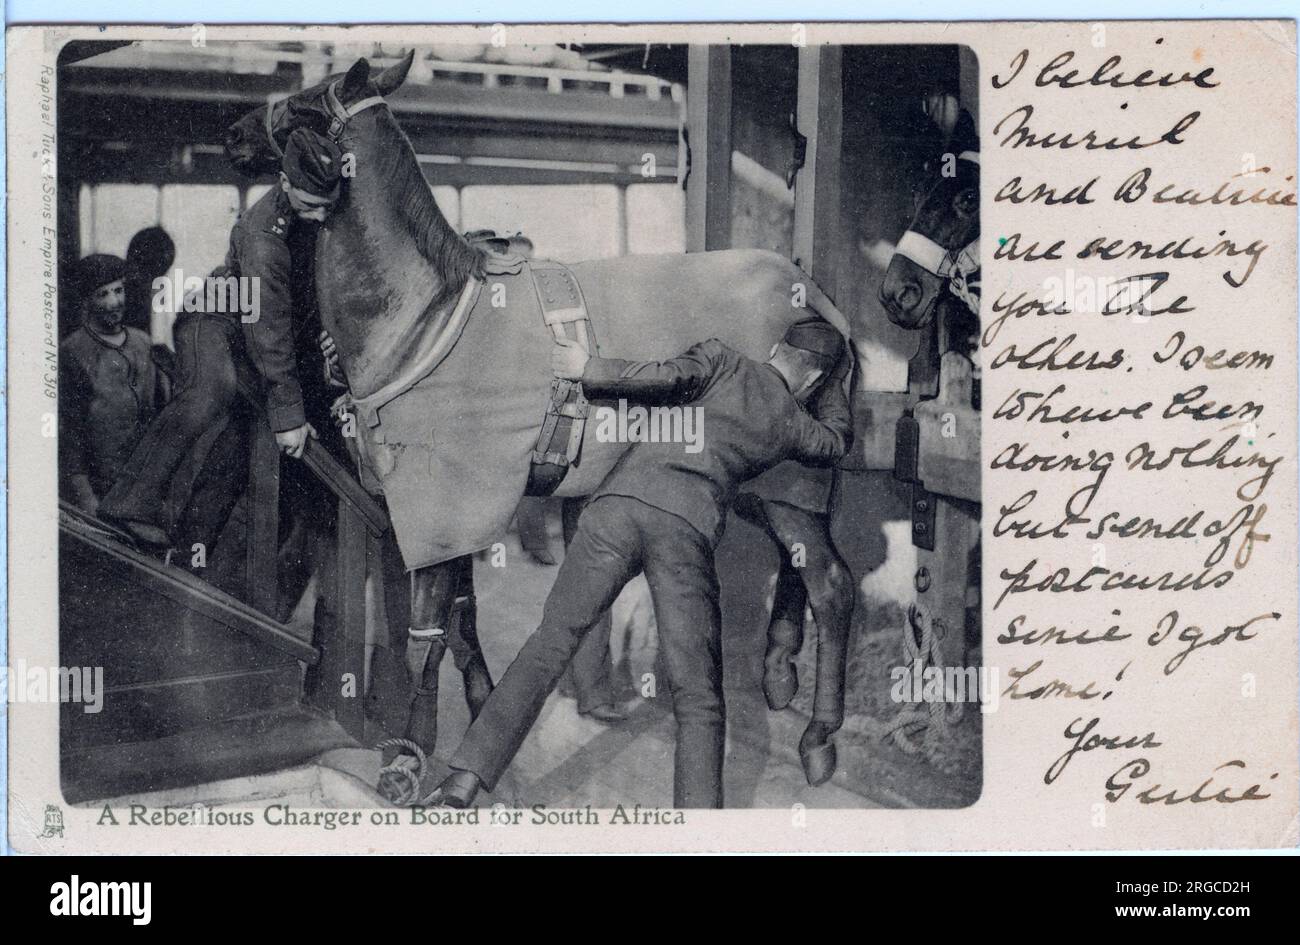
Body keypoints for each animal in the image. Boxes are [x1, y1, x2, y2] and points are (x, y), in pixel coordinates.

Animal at [227, 51, 863, 800]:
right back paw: (778, 669)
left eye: (306, 101)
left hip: (795, 477)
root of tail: (817, 296)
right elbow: (462, 622)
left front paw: (410, 754)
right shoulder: (456, 517)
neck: (426, 317)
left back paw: (819, 738)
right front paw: (476, 713)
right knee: (799, 569)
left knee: (833, 586)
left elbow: (426, 636)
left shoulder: (445, 508)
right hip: (770, 486)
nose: (238, 130)